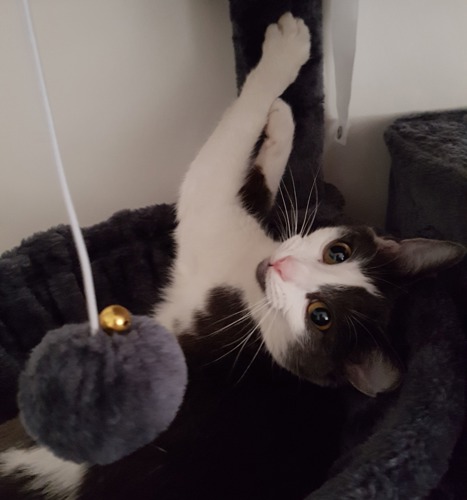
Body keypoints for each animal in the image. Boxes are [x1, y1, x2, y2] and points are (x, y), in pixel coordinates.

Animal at [0, 11, 464, 500]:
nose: (283, 266)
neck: (253, 281)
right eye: (338, 252)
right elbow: (257, 180)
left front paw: (287, 50)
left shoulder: (211, 223)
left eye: (320, 316)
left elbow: (229, 140)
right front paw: (283, 120)